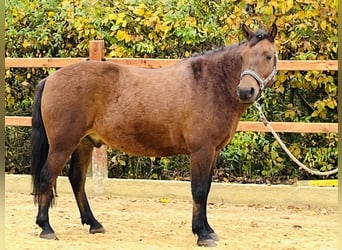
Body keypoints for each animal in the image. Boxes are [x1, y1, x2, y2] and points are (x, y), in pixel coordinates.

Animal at [31, 23, 278, 246]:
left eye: (268, 56)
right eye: (244, 57)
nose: (246, 91)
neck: (210, 85)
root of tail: (50, 79)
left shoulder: (213, 152)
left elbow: (206, 190)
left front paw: (208, 230)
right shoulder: (202, 151)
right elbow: (198, 191)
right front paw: (202, 234)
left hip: (84, 143)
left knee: (77, 179)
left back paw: (94, 223)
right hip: (63, 145)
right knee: (47, 176)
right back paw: (46, 227)